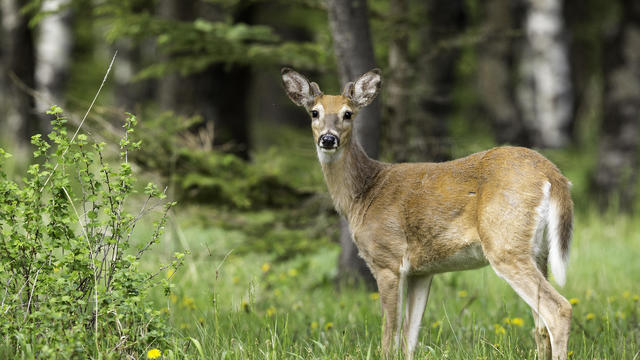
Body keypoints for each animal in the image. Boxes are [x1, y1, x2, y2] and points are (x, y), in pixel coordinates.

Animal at [282, 68, 572, 360]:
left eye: (348, 113)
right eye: (314, 112)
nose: (328, 139)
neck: (363, 196)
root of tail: (554, 175)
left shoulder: (388, 260)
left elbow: (389, 335)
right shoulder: (421, 271)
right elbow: (409, 338)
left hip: (505, 243)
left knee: (559, 310)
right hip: (538, 252)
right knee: (540, 327)